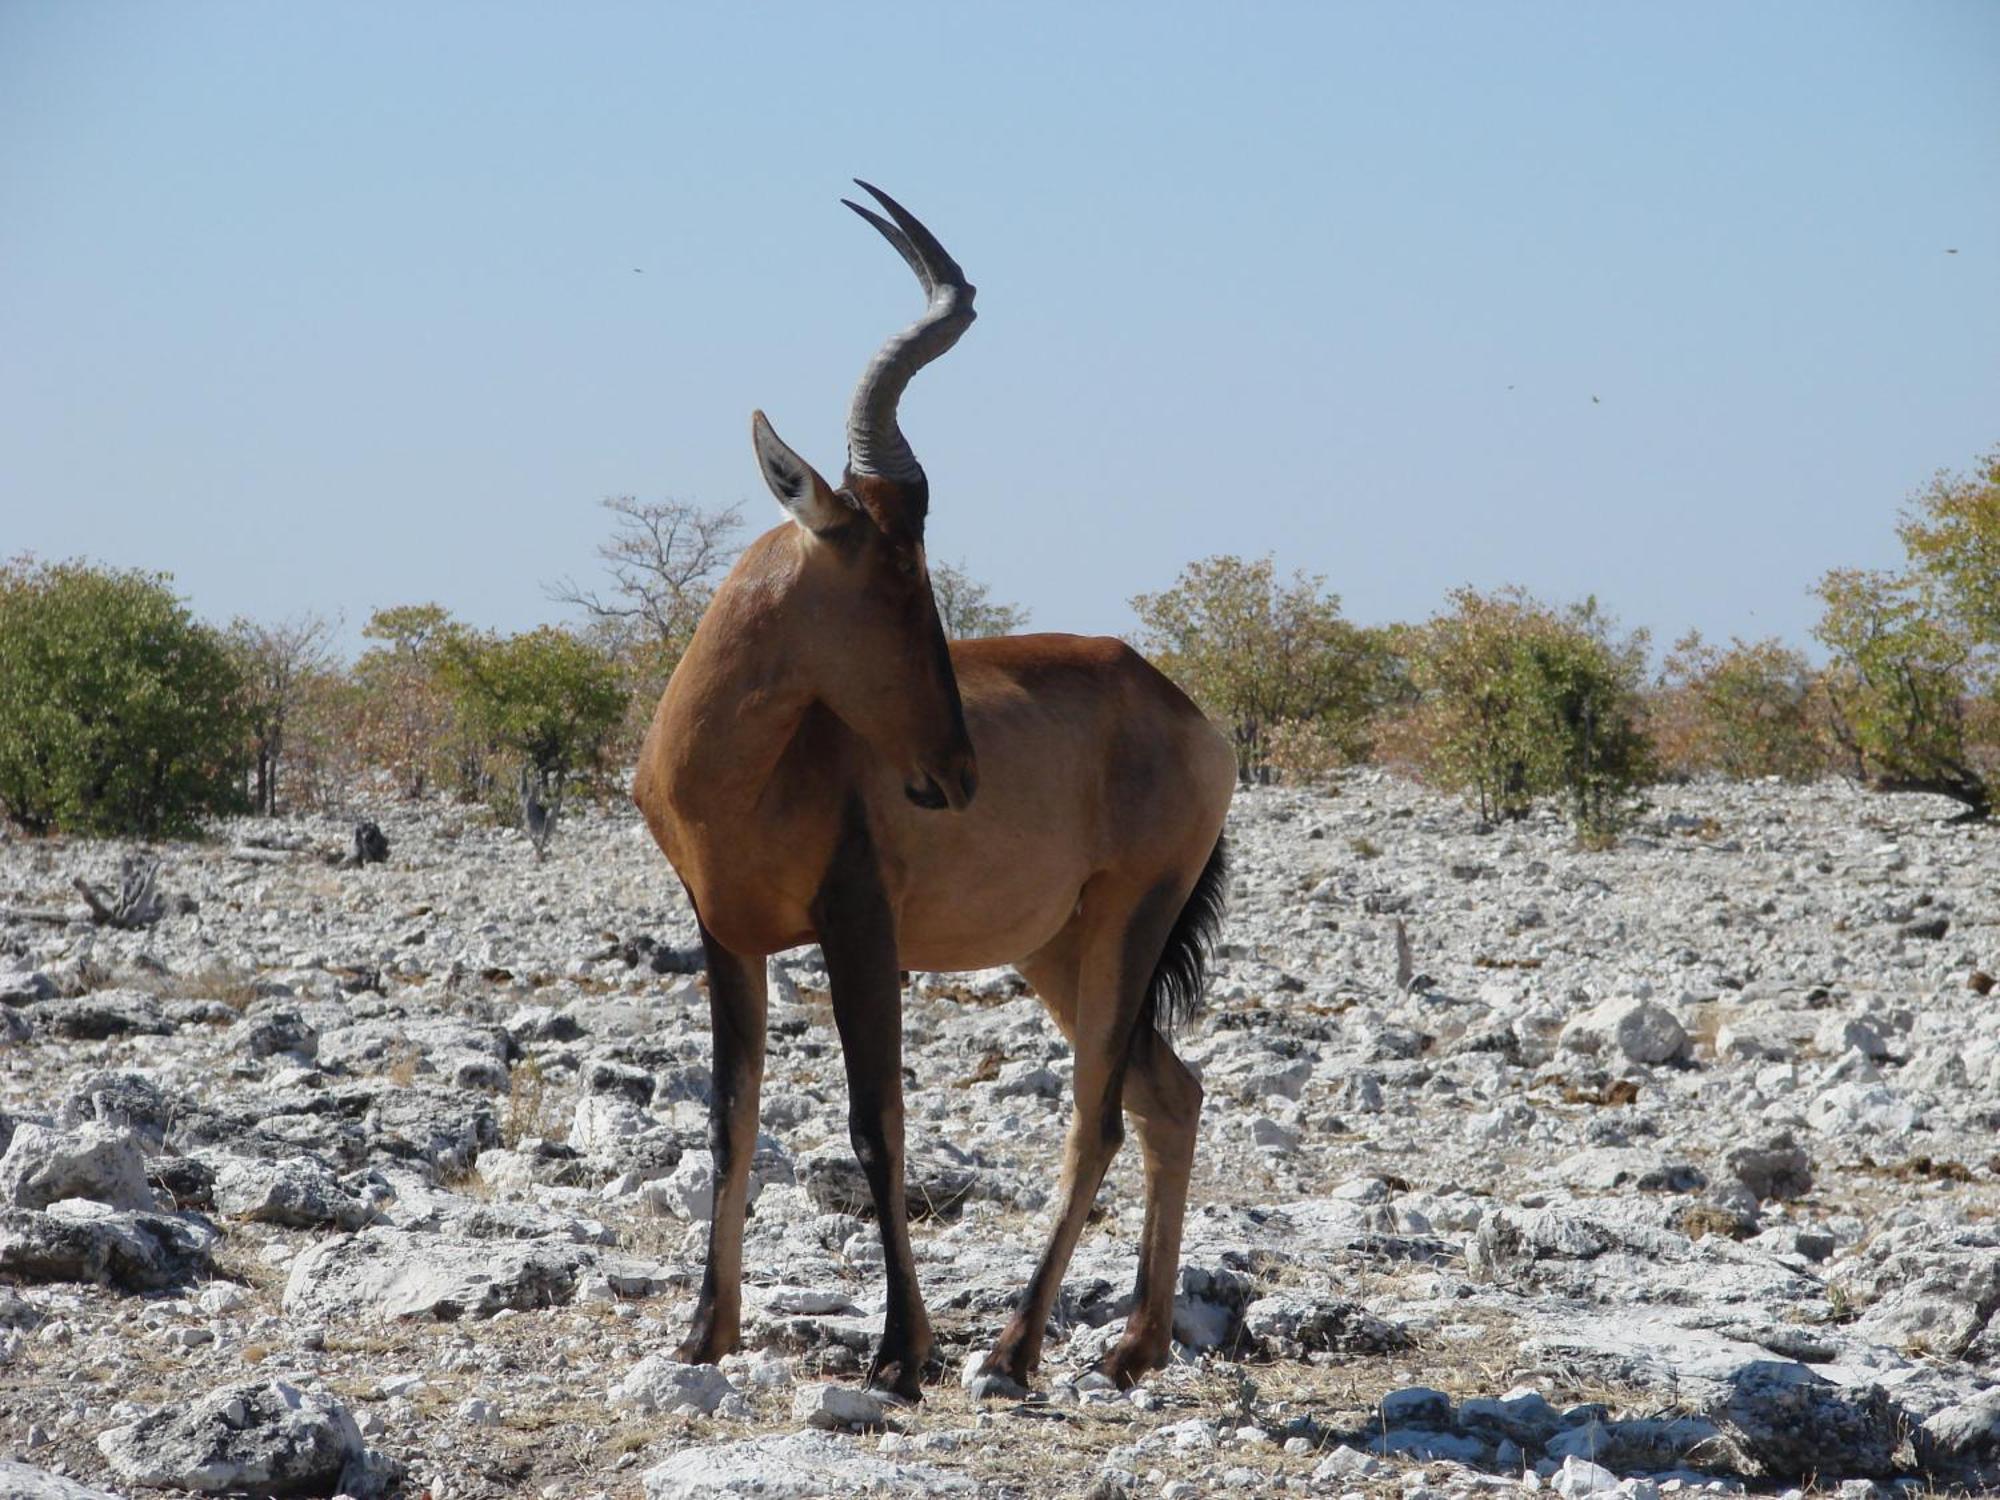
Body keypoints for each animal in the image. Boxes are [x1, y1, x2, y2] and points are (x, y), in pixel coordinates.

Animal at [636, 182, 1232, 1408]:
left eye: (924, 562)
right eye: (892, 572)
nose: (955, 774)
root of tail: (1184, 709)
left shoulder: (859, 924)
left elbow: (878, 1122)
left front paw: (902, 1350)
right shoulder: (724, 932)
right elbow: (728, 1120)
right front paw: (703, 1334)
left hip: (1128, 922)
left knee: (1099, 1115)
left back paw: (1011, 1351)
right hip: (1056, 949)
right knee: (1171, 1094)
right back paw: (1134, 1345)